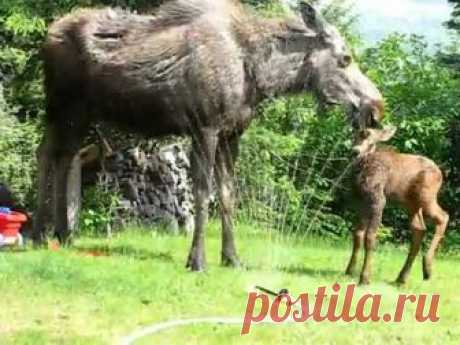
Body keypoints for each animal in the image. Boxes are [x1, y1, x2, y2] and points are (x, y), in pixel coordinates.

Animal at [34, 0, 382, 270]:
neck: (259, 73)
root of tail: (48, 36)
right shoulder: (204, 127)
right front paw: (197, 260)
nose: (376, 107)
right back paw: (39, 232)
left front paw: (232, 258)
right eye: (345, 58)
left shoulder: (232, 134)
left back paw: (63, 234)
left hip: (80, 114)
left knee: (66, 157)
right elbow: (202, 194)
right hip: (60, 105)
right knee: (46, 154)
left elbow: (226, 195)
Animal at [344, 125, 450, 284]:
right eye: (355, 136)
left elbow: (370, 237)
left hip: (426, 198)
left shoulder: (379, 199)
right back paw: (402, 278)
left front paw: (365, 277)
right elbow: (357, 234)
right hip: (411, 204)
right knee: (419, 229)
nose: (355, 151)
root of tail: (441, 174)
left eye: (372, 140)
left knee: (443, 216)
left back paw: (427, 267)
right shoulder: (360, 200)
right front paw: (349, 271)